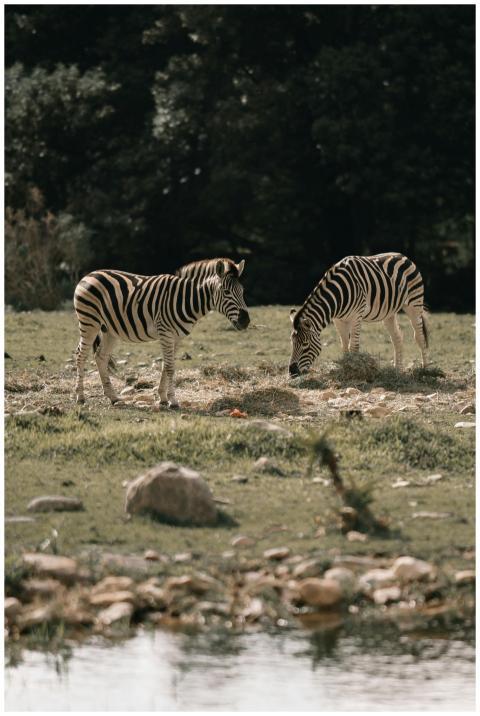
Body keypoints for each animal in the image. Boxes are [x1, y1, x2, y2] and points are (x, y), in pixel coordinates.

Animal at [74, 259, 249, 408]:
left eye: (242, 291)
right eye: (226, 292)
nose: (246, 321)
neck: (185, 299)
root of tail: (89, 274)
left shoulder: (176, 338)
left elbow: (167, 365)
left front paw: (163, 398)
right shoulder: (166, 333)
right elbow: (170, 367)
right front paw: (173, 401)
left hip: (110, 330)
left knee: (100, 356)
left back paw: (113, 397)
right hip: (89, 322)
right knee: (81, 355)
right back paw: (80, 397)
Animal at [289, 252, 429, 377]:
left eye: (305, 345)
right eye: (292, 343)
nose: (292, 372)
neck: (337, 296)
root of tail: (403, 256)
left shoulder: (356, 316)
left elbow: (354, 346)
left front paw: (354, 371)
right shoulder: (338, 320)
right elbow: (344, 346)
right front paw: (345, 368)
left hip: (414, 303)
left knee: (419, 336)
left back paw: (424, 370)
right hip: (389, 313)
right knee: (397, 337)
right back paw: (397, 371)